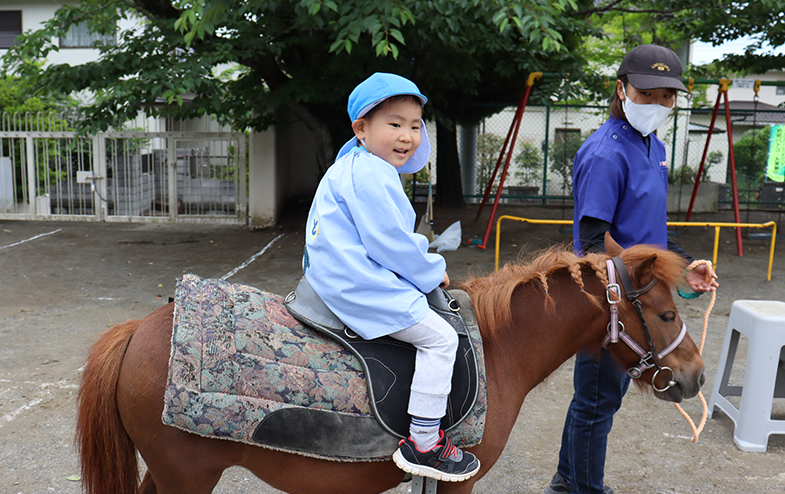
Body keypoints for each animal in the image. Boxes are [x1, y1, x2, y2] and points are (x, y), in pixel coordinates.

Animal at [75, 237, 704, 492]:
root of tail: (138, 331)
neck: (499, 347)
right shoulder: (457, 485)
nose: (695, 376)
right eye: (668, 313)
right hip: (188, 477)